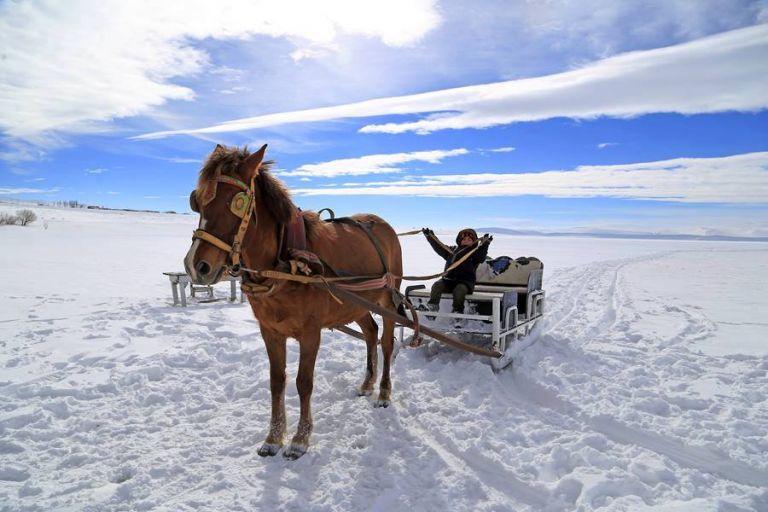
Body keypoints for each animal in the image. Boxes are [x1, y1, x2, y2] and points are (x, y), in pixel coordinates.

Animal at [184, 144, 404, 460]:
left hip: (387, 298)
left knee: (386, 341)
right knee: (370, 334)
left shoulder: (310, 333)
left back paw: (384, 393)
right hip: (358, 303)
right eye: (198, 201)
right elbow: (277, 381)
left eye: (235, 203)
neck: (286, 263)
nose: (196, 266)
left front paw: (300, 439)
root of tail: (384, 225)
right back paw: (367, 383)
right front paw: (273, 438)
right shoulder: (270, 331)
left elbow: (303, 382)